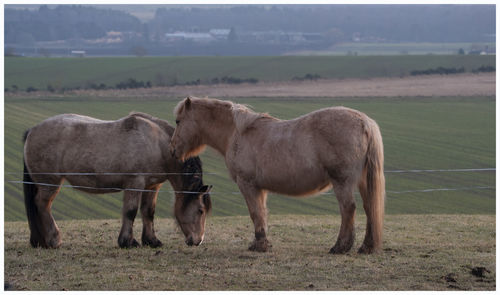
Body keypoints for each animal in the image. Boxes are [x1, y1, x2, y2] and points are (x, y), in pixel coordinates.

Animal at [23, 112, 211, 250]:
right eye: (201, 210)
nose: (198, 240)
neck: (157, 144)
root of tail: (32, 130)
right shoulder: (135, 184)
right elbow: (130, 212)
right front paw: (127, 242)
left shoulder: (152, 186)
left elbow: (148, 212)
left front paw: (152, 241)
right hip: (50, 183)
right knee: (42, 205)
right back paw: (54, 240)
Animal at [170, 97, 384, 254]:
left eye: (178, 121)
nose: (173, 150)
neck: (238, 134)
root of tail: (365, 122)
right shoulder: (260, 188)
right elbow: (262, 213)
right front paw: (263, 243)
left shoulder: (247, 184)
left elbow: (255, 212)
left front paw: (259, 245)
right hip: (362, 182)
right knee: (369, 207)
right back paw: (366, 246)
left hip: (342, 181)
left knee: (348, 208)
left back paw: (340, 246)